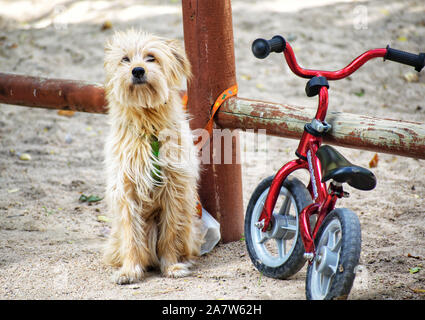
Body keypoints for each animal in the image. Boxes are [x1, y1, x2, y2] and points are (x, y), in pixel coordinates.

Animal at [102, 30, 202, 284]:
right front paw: (130, 270)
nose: (138, 70)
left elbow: (170, 232)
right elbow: (131, 235)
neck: (148, 125)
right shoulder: (126, 189)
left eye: (151, 57)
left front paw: (172, 266)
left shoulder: (174, 189)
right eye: (125, 59)